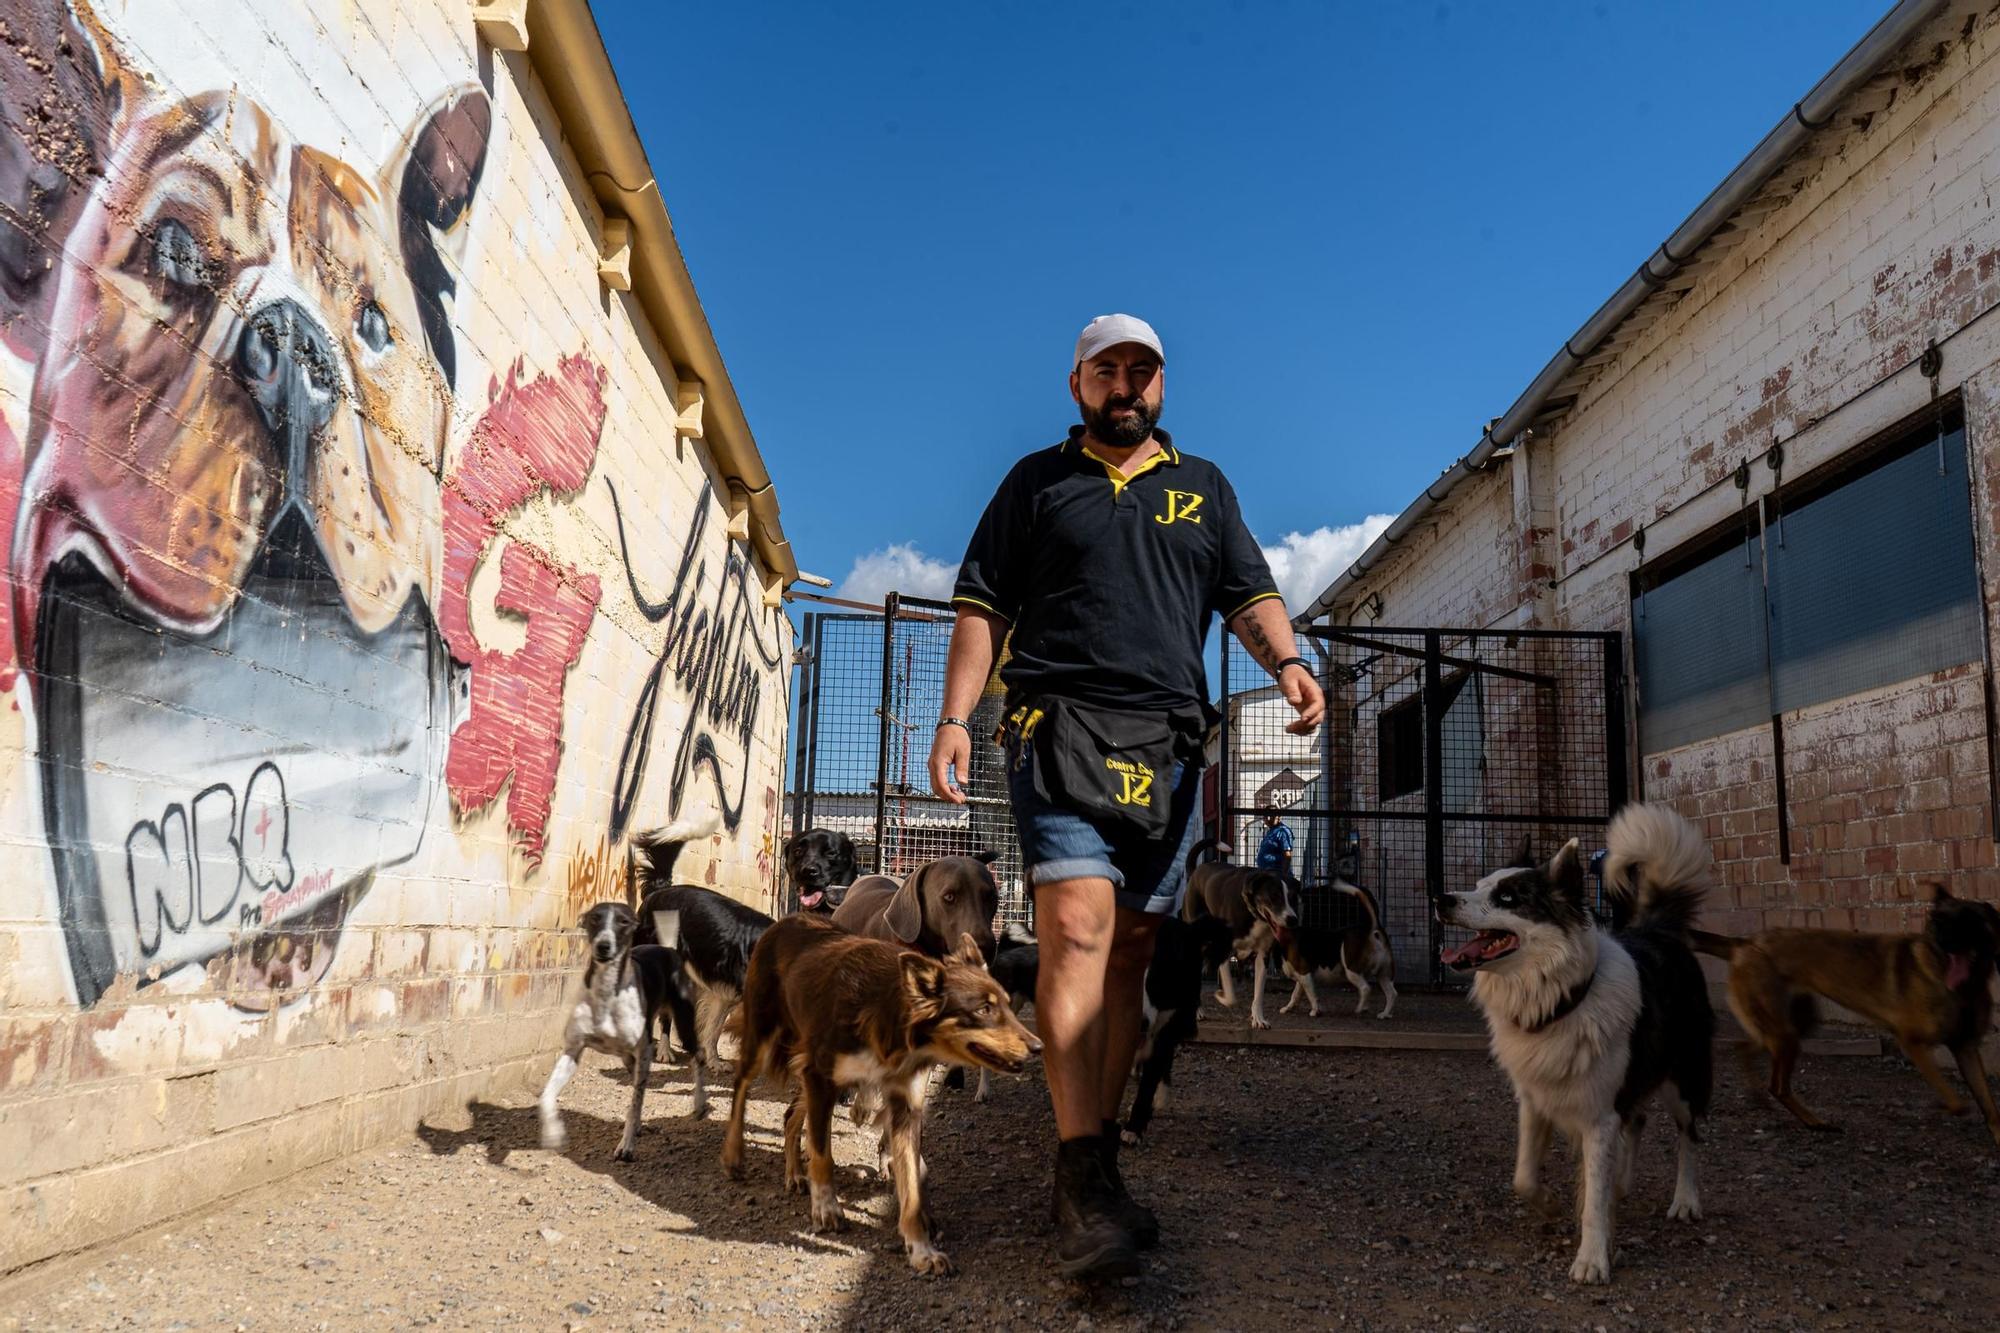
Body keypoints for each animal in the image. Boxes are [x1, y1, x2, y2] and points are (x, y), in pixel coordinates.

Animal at [540, 896, 704, 1160]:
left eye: (624, 921)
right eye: (594, 918)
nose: (603, 946)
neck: (606, 992)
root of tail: (668, 949)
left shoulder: (644, 1049)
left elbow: (634, 1103)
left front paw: (626, 1145)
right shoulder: (573, 1050)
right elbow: (546, 1095)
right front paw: (553, 1133)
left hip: (683, 1026)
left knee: (698, 1056)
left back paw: (700, 1103)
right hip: (629, 1059)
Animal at [720, 908, 1040, 1272]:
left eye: (1006, 1005)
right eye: (984, 1010)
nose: (1038, 1047)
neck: (891, 1015)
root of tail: (787, 920)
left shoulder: (903, 1105)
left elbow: (911, 1183)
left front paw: (921, 1249)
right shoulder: (821, 1078)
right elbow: (822, 1154)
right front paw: (826, 1209)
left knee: (789, 1116)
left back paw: (795, 1175)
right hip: (765, 1040)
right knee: (741, 1085)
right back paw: (733, 1155)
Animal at [1440, 804, 1720, 1280]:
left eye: (1508, 898)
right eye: (1477, 885)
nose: (1441, 899)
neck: (1561, 1000)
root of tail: (1658, 931)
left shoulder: (1600, 1115)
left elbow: (1592, 1197)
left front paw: (1592, 1258)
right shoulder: (1534, 1098)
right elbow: (1524, 1176)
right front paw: (1551, 1205)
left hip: (1682, 1077)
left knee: (1688, 1135)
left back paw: (1686, 1200)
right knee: (1638, 1120)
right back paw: (1622, 1183)